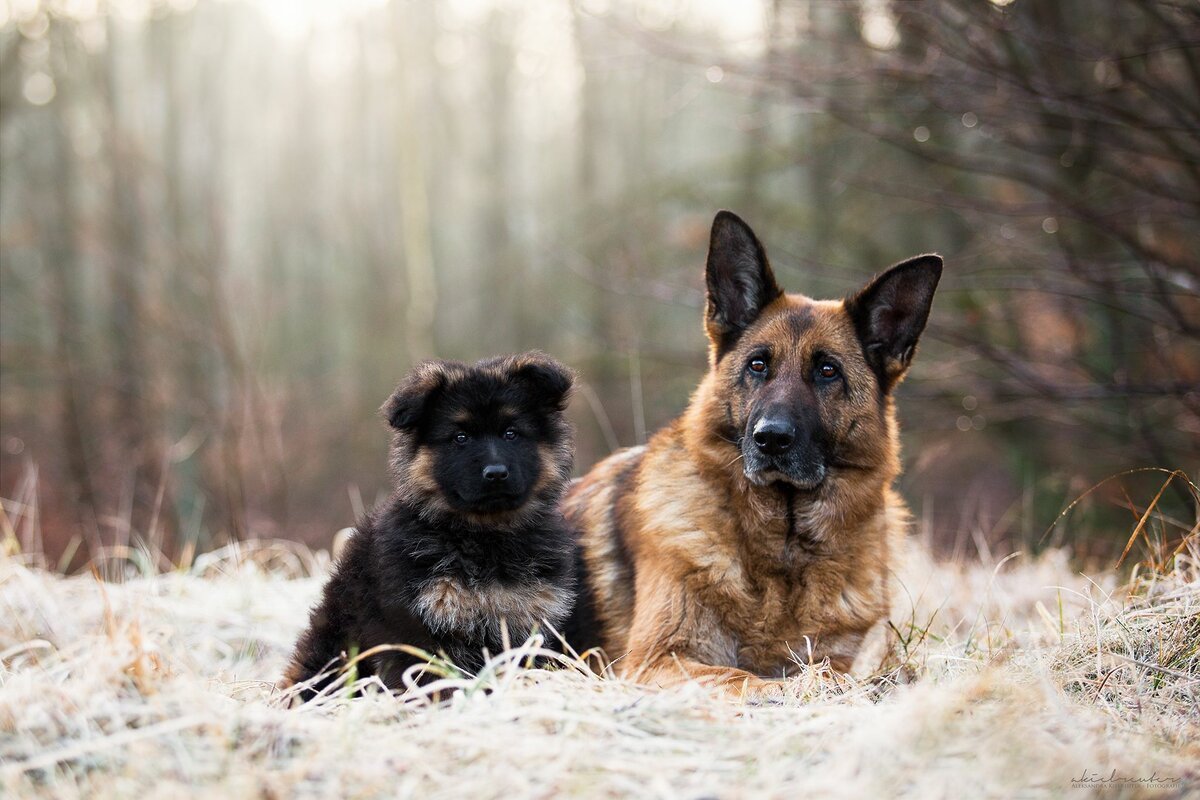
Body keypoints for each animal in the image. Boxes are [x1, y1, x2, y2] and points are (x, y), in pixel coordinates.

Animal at [283, 352, 578, 695]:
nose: (495, 473)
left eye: (511, 433)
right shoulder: (419, 630)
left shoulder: (528, 624)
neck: (484, 535)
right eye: (460, 438)